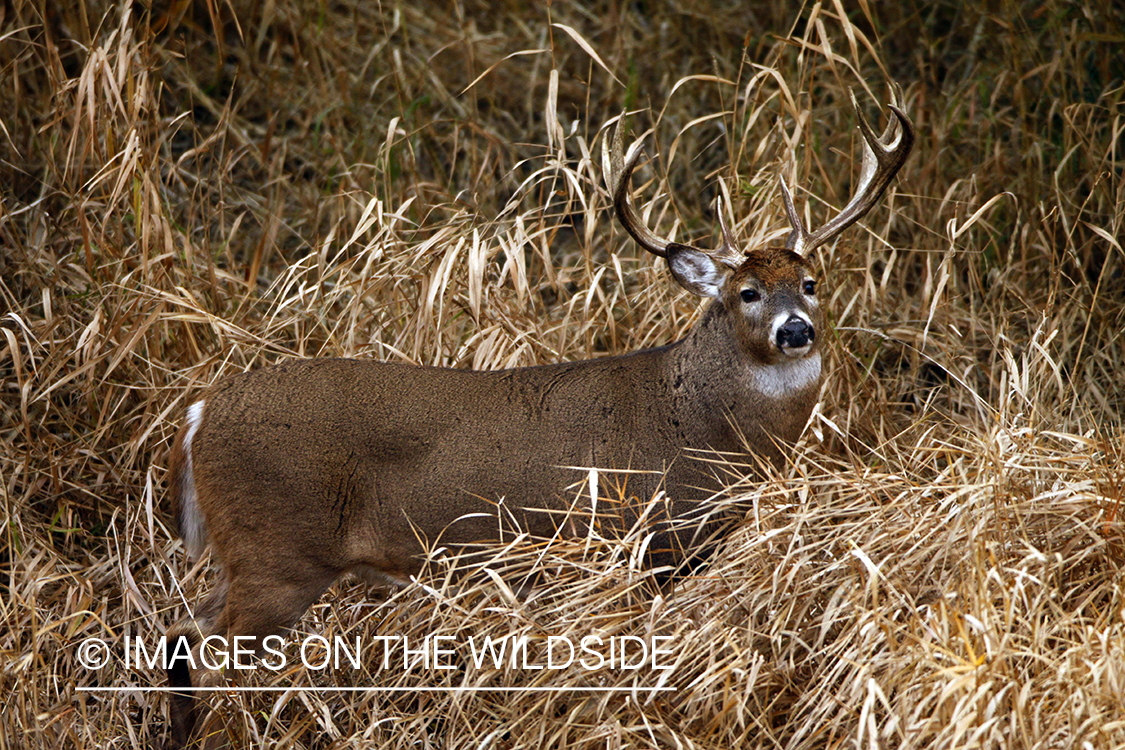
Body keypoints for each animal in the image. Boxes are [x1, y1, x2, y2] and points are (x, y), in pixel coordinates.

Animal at [160, 89, 913, 746]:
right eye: (748, 293)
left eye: (810, 284)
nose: (795, 330)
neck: (705, 430)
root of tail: (200, 413)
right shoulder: (643, 540)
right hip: (276, 549)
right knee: (209, 653)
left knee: (180, 634)